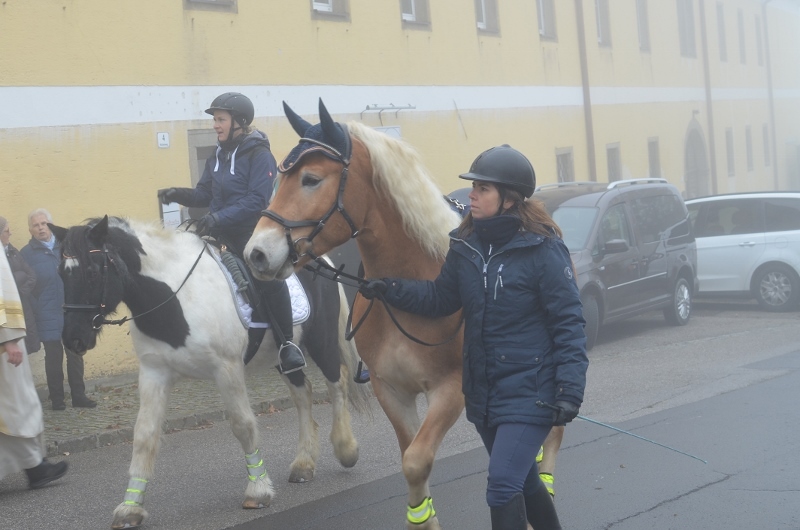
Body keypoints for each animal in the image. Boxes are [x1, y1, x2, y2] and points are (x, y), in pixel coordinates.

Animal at [51, 215, 370, 529]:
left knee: (337, 383)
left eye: (92, 271)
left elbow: (243, 425)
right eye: (61, 274)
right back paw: (304, 463)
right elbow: (144, 435)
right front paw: (130, 507)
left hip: (321, 341)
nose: (73, 339)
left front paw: (258, 490)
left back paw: (346, 449)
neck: (176, 297)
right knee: (304, 393)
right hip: (285, 356)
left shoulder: (226, 368)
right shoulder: (154, 372)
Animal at [244, 99, 466, 530]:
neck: (413, 290)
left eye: (311, 178)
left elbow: (418, 461)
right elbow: (413, 462)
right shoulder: (391, 390)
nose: (256, 253)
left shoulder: (452, 387)